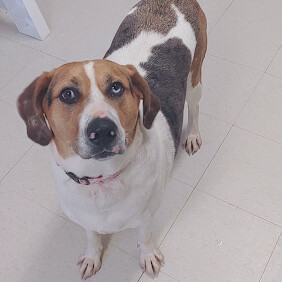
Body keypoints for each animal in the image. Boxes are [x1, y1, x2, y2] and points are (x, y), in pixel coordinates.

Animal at [17, 0, 207, 278]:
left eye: (116, 87)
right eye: (68, 94)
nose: (102, 130)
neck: (101, 180)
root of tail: (171, 2)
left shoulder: (147, 215)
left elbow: (145, 238)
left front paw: (148, 256)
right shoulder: (85, 219)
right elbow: (91, 236)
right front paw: (92, 256)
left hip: (195, 79)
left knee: (193, 108)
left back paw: (192, 135)